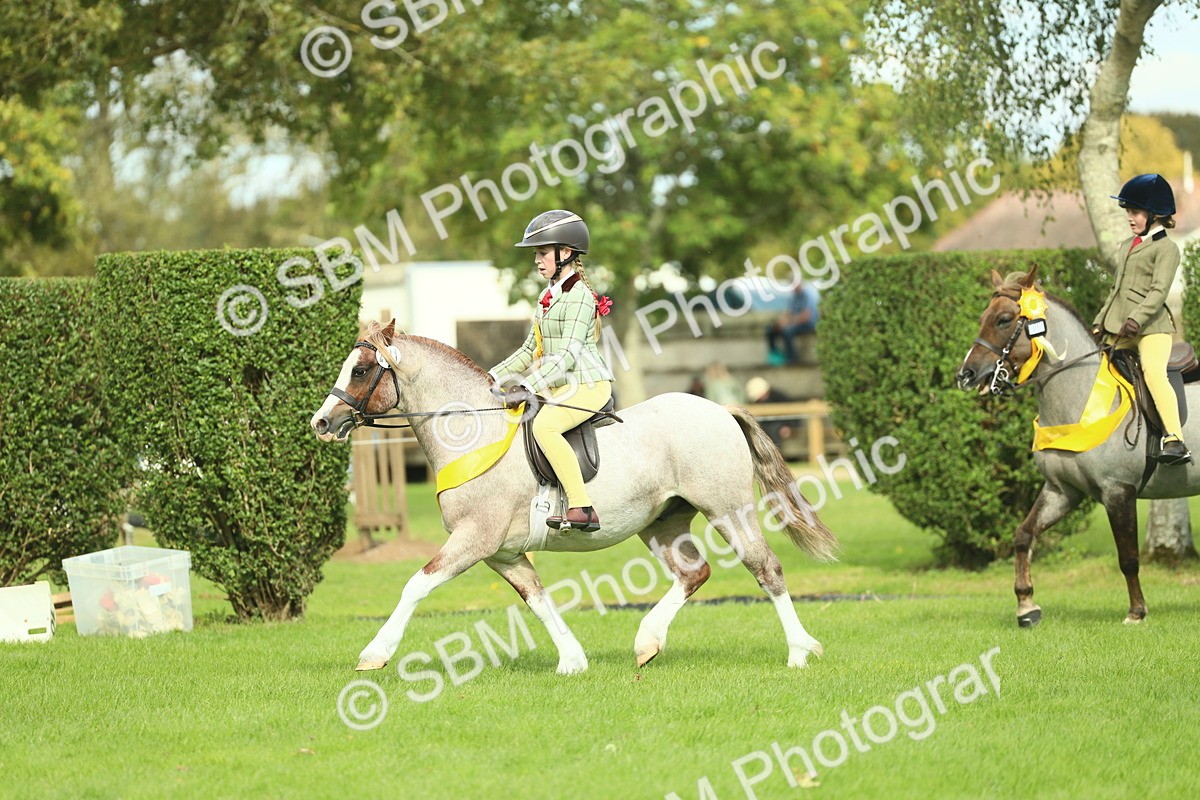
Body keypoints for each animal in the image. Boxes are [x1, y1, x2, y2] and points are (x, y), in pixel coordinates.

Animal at [310, 320, 838, 673]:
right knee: (694, 573)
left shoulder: (474, 539)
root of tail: (720, 409)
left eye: (361, 370)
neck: (473, 432)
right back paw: (647, 642)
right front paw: (573, 660)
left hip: (728, 509)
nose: (321, 422)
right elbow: (536, 598)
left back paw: (799, 652)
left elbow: (416, 585)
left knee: (765, 568)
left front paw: (375, 654)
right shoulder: (502, 552)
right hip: (662, 522)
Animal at [956, 266, 1200, 627]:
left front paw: (1136, 612)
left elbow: (1128, 557)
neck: (1080, 395)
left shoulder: (1118, 491)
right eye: (982, 318)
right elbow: (1023, 535)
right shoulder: (1061, 490)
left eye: (1003, 319)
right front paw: (1026, 606)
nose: (966, 375)